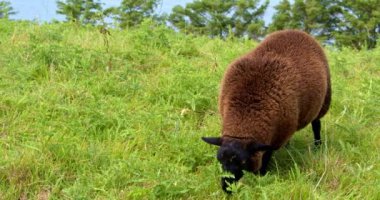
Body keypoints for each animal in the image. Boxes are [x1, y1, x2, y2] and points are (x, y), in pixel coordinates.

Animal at [203, 29, 332, 192]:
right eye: (219, 160)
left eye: (243, 162)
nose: (227, 188)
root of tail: (297, 31)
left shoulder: (274, 138)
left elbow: (266, 156)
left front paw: (262, 176)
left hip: (324, 101)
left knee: (316, 125)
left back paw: (317, 146)